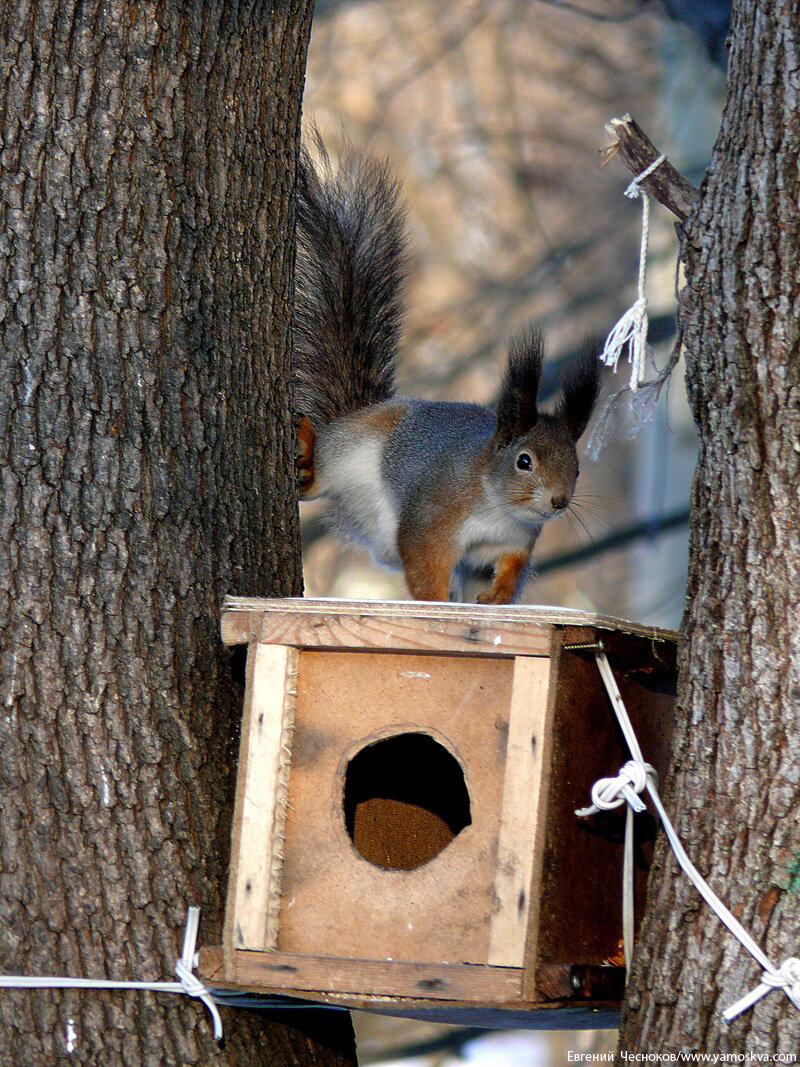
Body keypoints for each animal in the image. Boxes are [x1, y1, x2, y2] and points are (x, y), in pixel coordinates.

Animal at [294, 138, 601, 606]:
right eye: (524, 461)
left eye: (578, 467)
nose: (559, 501)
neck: (499, 508)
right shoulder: (433, 519)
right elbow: (425, 565)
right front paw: (435, 605)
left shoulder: (513, 544)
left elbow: (508, 571)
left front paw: (494, 599)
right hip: (349, 447)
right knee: (322, 473)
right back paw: (307, 454)